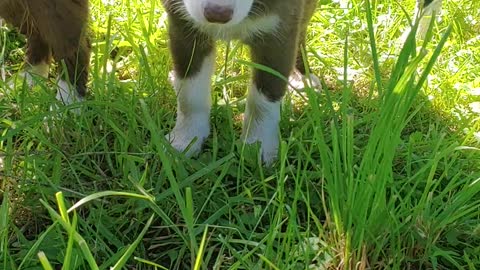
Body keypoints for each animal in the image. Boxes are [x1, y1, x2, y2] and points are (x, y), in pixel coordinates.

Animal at [161, 0, 318, 165]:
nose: (217, 14)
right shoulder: (184, 26)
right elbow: (190, 93)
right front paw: (185, 140)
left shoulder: (279, 29)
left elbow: (264, 97)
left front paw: (258, 146)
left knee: (302, 27)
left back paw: (303, 78)